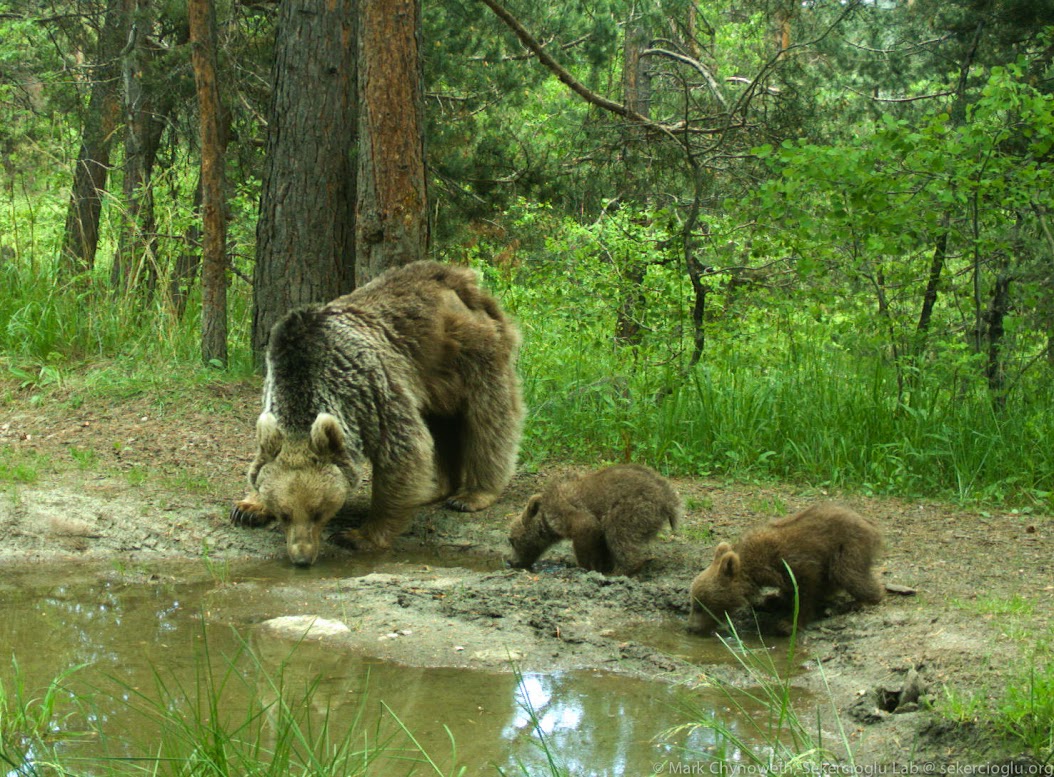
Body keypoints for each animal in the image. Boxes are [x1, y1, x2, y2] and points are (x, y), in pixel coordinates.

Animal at [230, 260, 524, 566]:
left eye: (318, 511)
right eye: (284, 514)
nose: (302, 557)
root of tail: (457, 276)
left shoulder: (369, 391)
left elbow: (404, 451)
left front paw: (359, 535)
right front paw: (248, 508)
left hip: (469, 350)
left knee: (488, 418)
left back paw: (473, 494)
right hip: (432, 378)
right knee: (443, 425)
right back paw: (438, 488)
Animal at [507, 464, 682, 576]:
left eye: (512, 540)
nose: (512, 562)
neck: (546, 521)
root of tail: (669, 499)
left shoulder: (568, 512)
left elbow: (587, 528)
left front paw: (584, 565)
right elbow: (600, 544)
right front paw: (601, 565)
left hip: (634, 507)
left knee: (618, 533)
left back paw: (621, 571)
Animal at [687, 503, 884, 635]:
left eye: (700, 605)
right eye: (694, 602)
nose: (691, 628)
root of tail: (869, 523)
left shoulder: (793, 562)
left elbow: (805, 591)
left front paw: (788, 624)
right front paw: (772, 601)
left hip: (847, 546)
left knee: (848, 573)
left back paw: (865, 600)